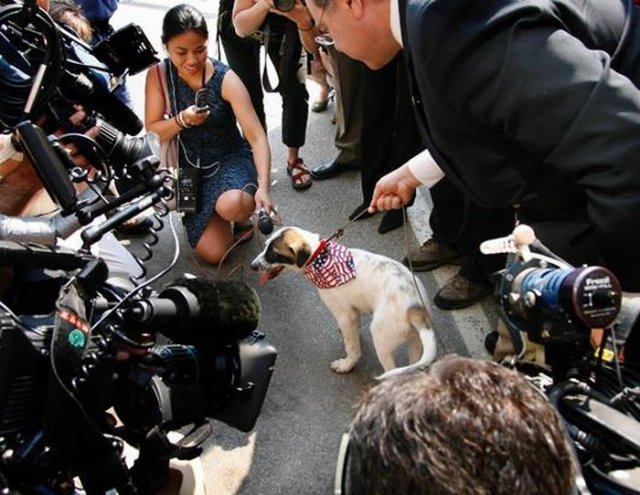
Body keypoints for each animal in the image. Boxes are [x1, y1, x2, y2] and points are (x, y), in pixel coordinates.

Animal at [249, 227, 436, 378]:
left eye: (273, 254)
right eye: (265, 246)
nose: (252, 266)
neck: (320, 257)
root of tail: (415, 306)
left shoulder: (345, 314)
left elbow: (352, 346)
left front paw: (346, 365)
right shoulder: (353, 311)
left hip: (381, 335)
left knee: (391, 370)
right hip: (415, 340)